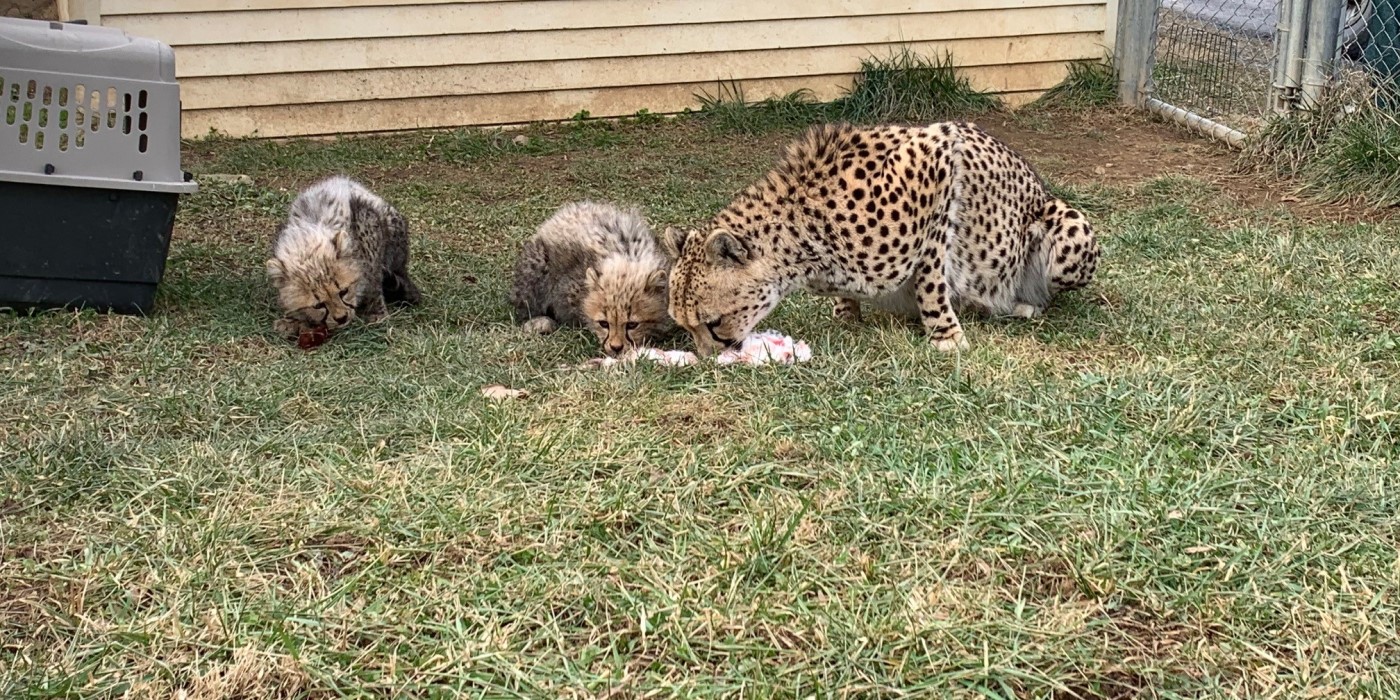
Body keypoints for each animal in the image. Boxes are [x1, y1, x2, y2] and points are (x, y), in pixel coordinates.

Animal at [660, 119, 1097, 355]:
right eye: (684, 326)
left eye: (714, 323)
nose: (710, 360)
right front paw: (846, 317)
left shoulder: (939, 154)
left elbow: (930, 279)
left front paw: (945, 336)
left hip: (1067, 225)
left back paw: (1019, 304)